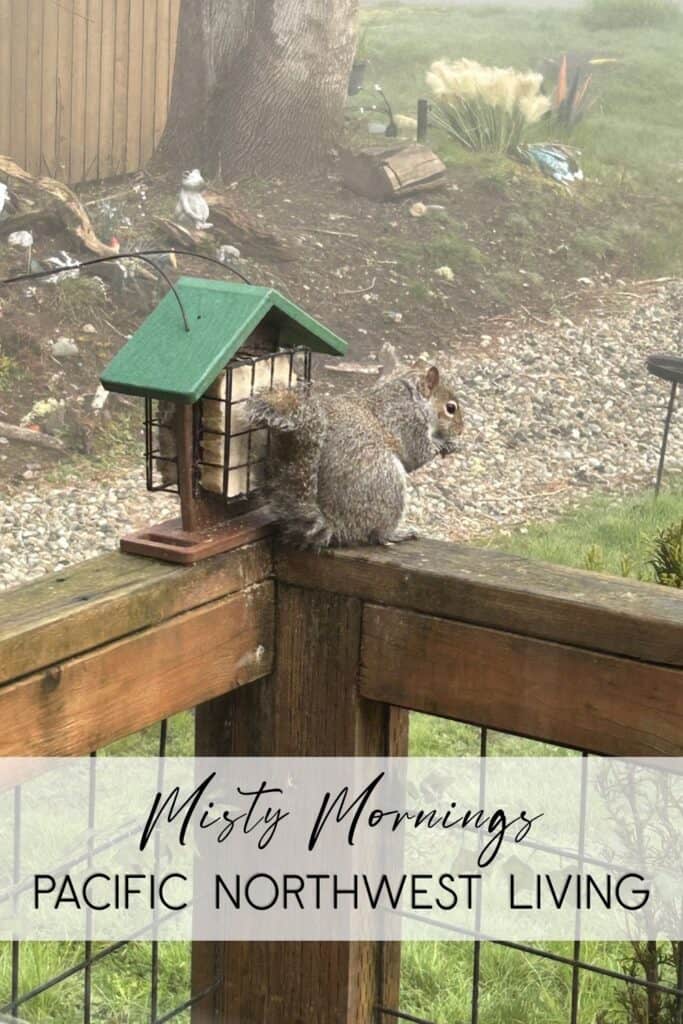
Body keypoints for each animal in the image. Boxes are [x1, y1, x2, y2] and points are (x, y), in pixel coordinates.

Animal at [248, 365, 463, 549]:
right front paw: (446, 445)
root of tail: (335, 524)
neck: (414, 399)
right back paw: (396, 534)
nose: (461, 430)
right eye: (450, 408)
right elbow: (418, 454)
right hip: (387, 483)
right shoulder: (410, 424)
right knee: (377, 534)